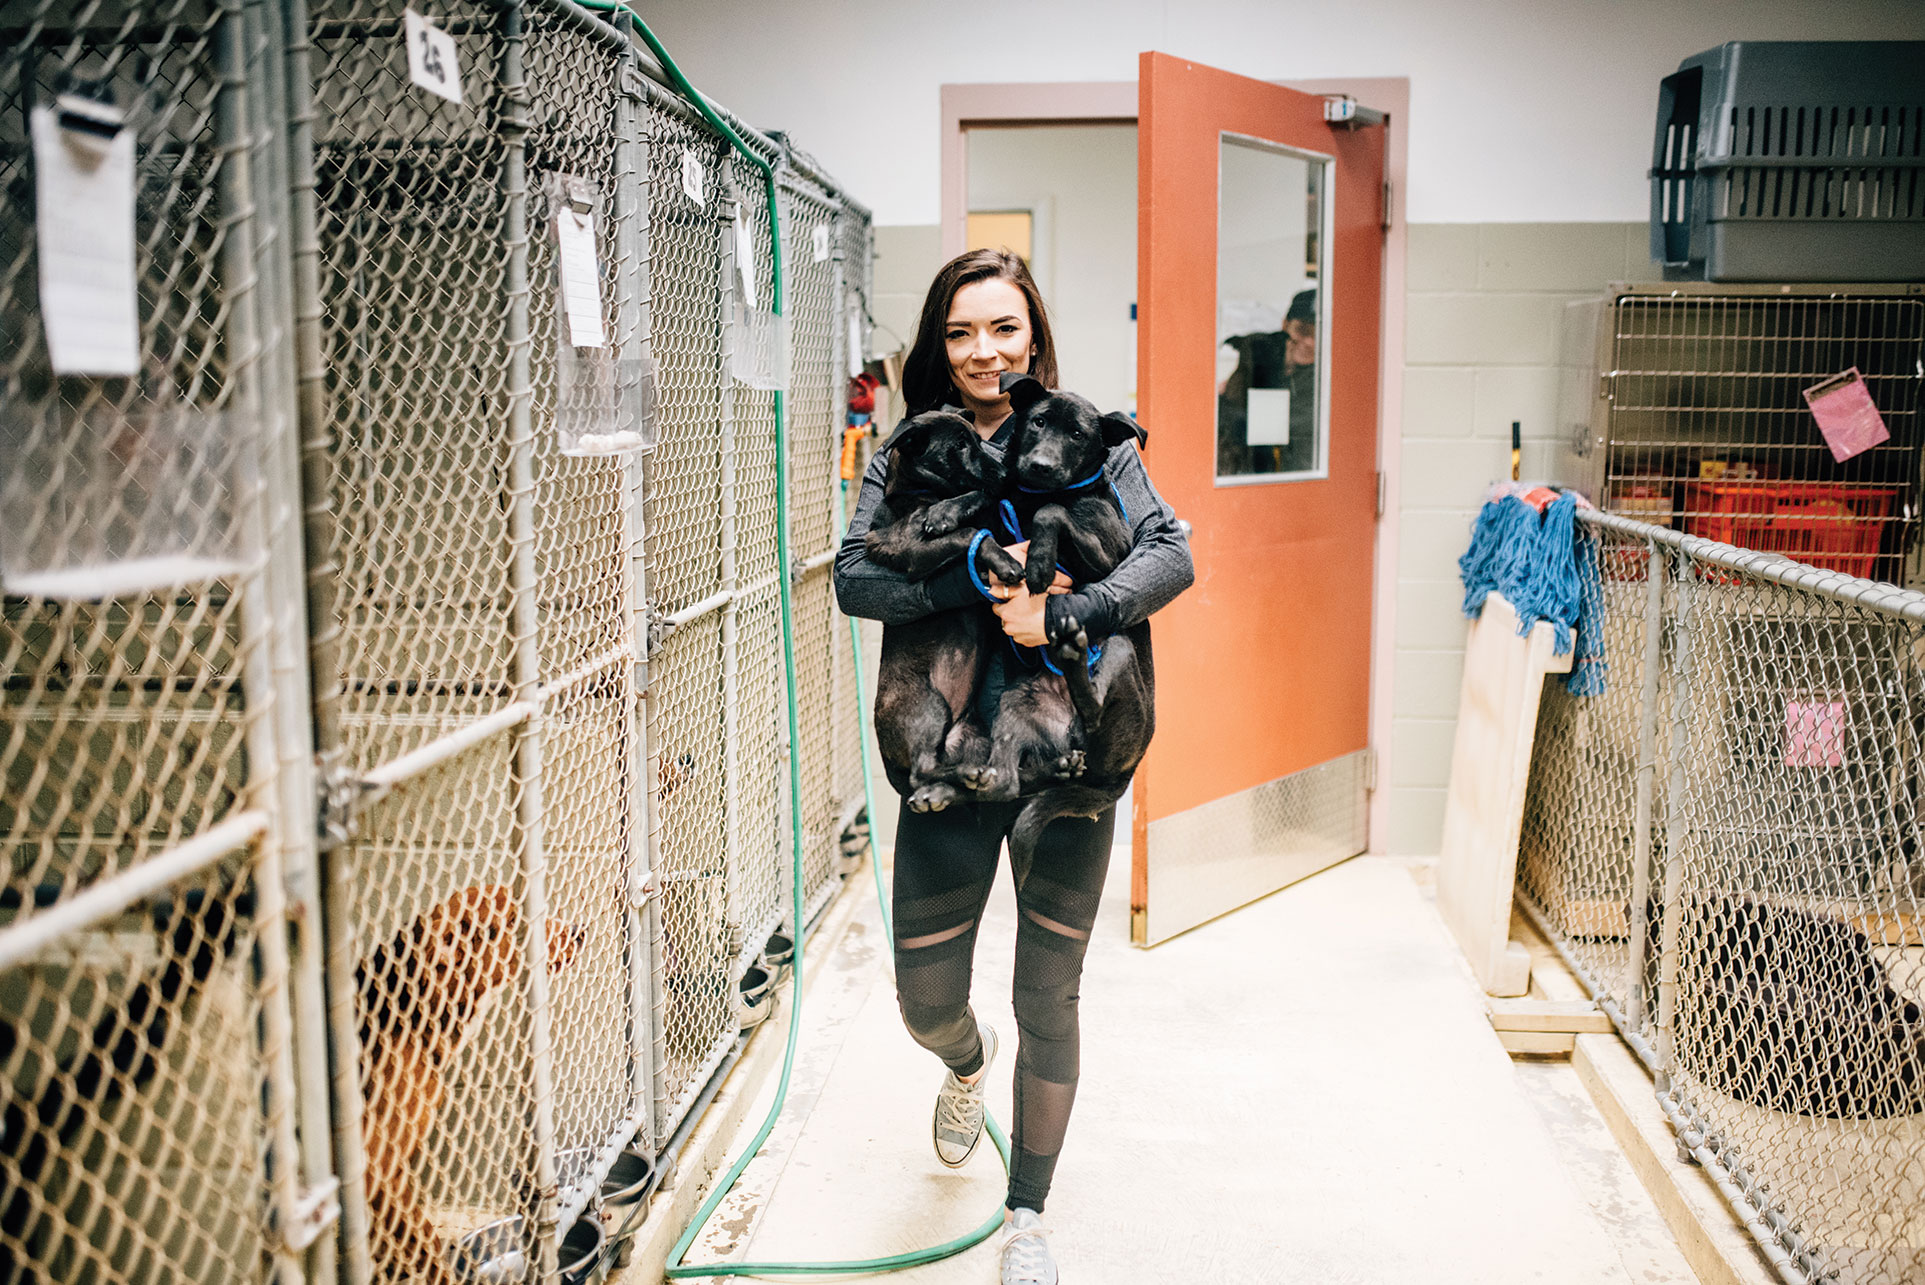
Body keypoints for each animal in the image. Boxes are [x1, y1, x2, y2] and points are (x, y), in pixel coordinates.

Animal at [870, 409, 1031, 811]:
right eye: (958, 446)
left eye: (977, 439)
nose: (1007, 473)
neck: (920, 493)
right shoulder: (912, 548)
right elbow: (971, 532)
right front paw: (1003, 561)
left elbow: (981, 499)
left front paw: (950, 510)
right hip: (928, 706)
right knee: (922, 771)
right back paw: (963, 776)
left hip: (972, 734)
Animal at [962, 371, 1155, 869]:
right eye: (1038, 422)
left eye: (1078, 435)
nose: (1041, 466)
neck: (1042, 493)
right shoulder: (1010, 499)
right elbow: (990, 493)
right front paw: (945, 510)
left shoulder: (1110, 556)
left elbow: (1055, 514)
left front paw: (1040, 563)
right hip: (1016, 702)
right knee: (1005, 782)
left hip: (1117, 649)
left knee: (1095, 703)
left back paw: (1071, 651)